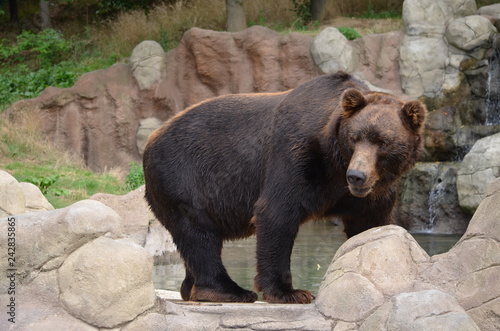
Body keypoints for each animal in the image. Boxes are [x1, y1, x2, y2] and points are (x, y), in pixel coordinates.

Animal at [142, 72, 426, 306]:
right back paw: (229, 290)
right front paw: (290, 292)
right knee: (199, 234)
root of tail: (151, 140)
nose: (357, 176)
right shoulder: (296, 155)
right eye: (354, 138)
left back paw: (193, 288)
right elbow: (277, 212)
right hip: (184, 176)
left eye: (383, 142)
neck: (334, 164)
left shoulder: (369, 193)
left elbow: (370, 224)